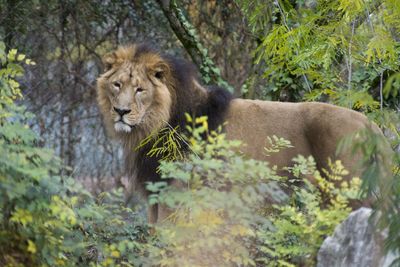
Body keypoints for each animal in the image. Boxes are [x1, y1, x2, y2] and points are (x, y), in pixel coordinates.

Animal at [97, 44, 390, 224]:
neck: (151, 127)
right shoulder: (155, 192)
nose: (121, 111)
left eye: (140, 90)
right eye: (117, 85)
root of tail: (371, 126)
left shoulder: (176, 191)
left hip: (347, 192)